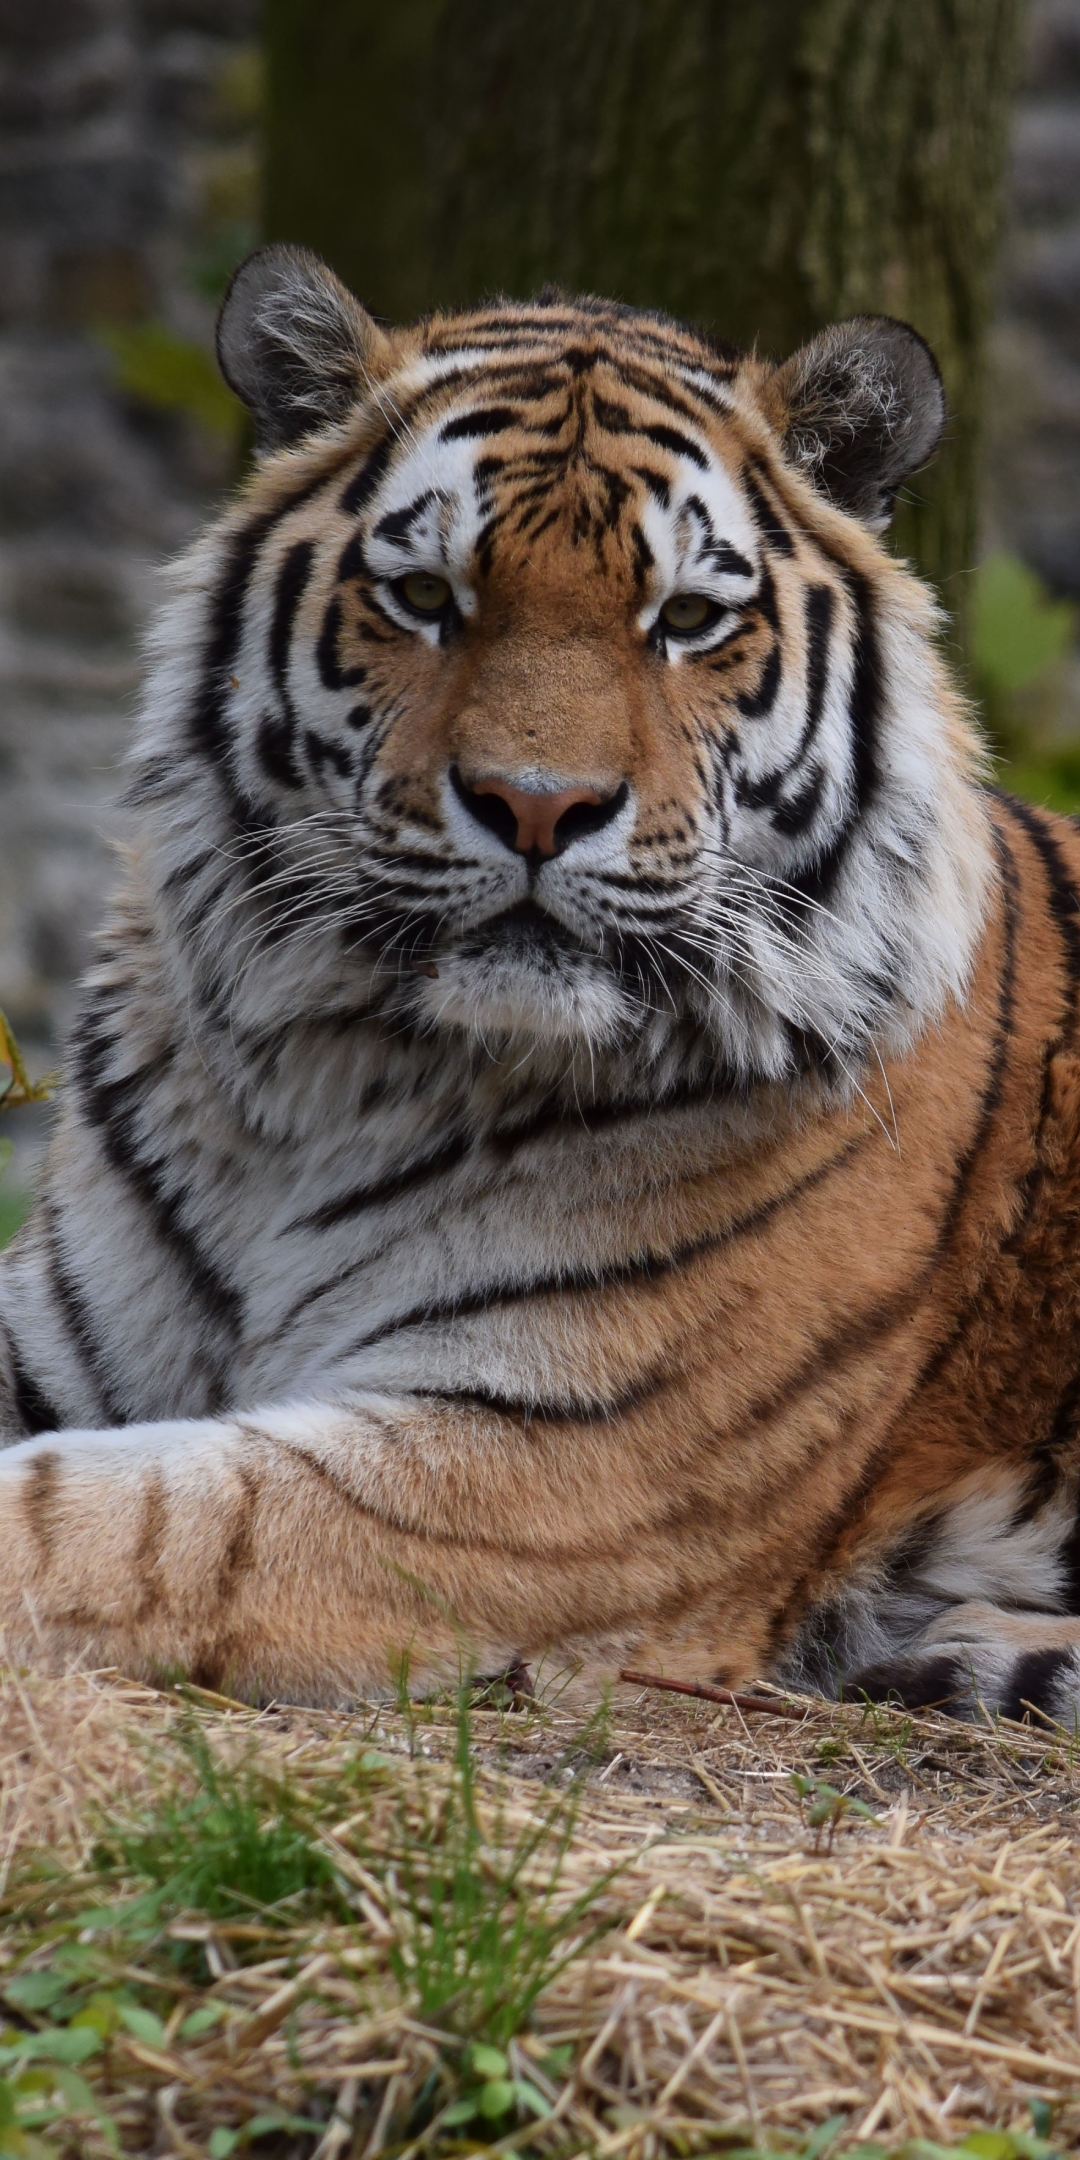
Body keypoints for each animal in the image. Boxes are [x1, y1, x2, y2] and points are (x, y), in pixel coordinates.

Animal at [6, 236, 1080, 1719]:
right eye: (425, 596)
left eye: (688, 618)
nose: (535, 805)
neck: (327, 1083)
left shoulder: (537, 1465)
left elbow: (108, 1522)